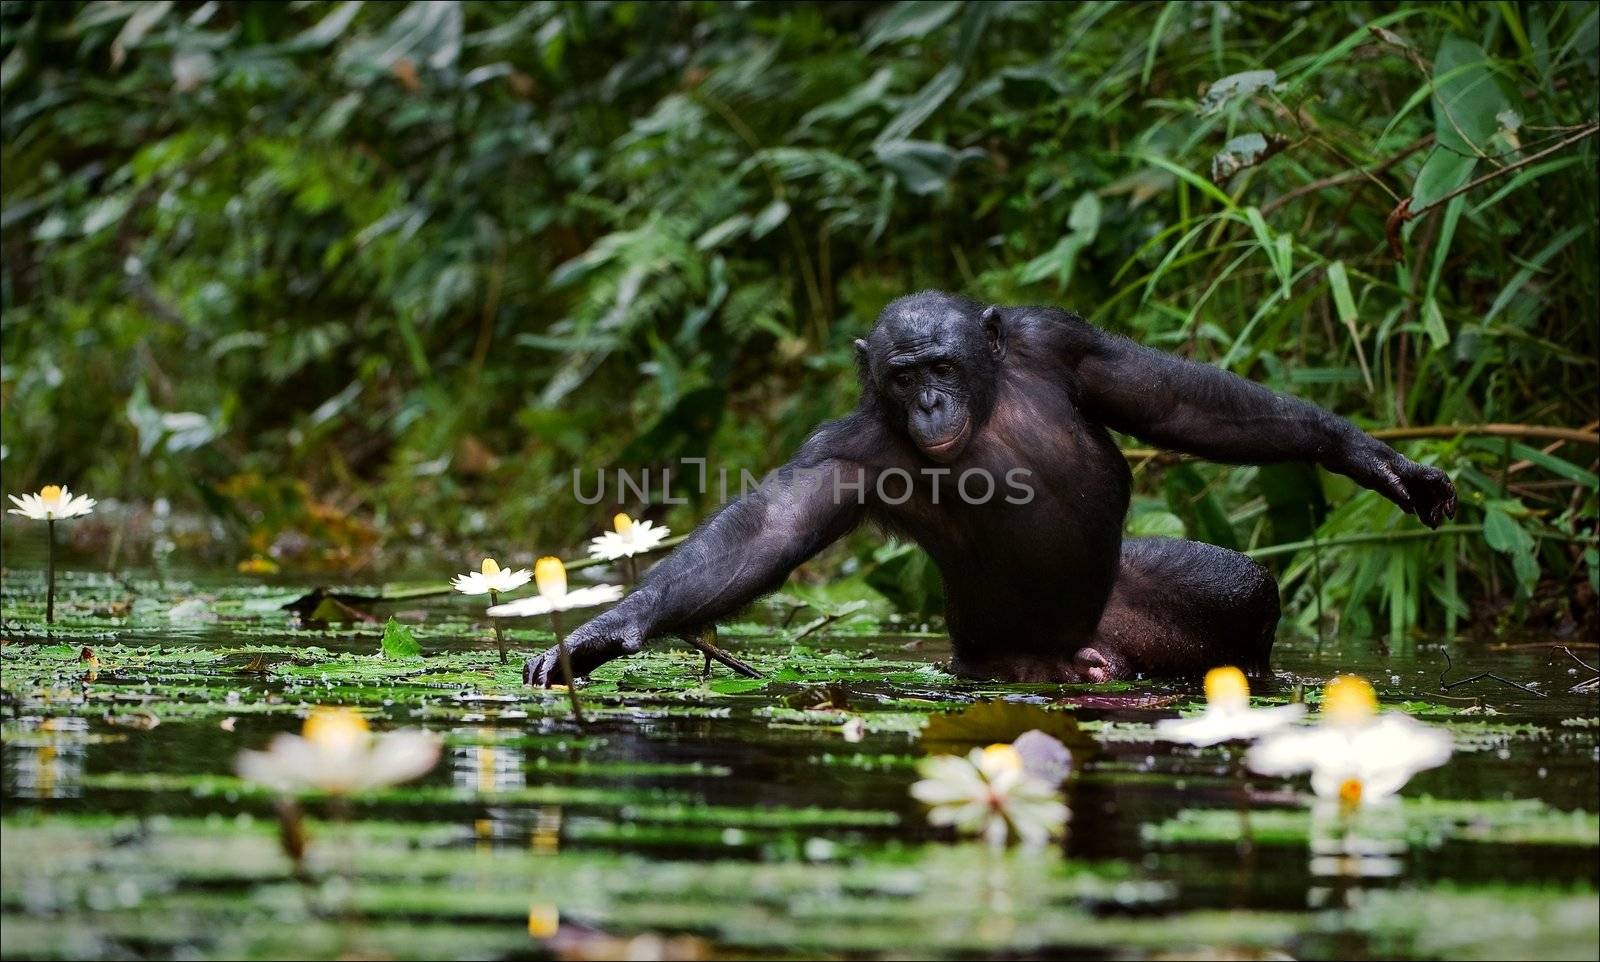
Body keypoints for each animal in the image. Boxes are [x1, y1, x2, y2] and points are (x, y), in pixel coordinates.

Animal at [521, 291, 1452, 681]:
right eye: (902, 376)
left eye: (941, 364)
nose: (930, 399)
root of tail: (1092, 652)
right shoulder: (841, 451)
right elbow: (764, 531)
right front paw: (608, 630)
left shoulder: (1064, 342)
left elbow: (1175, 402)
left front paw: (1368, 456)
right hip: (996, 663)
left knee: (1242, 586)